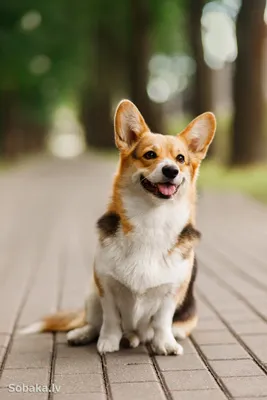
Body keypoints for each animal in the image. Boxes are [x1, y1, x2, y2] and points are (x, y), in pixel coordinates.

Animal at [22, 101, 217, 356]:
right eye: (150, 155)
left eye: (181, 158)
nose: (171, 170)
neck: (151, 220)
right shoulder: (106, 286)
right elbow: (111, 319)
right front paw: (108, 342)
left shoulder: (171, 292)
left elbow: (161, 321)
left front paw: (164, 344)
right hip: (91, 293)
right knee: (94, 321)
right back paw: (84, 334)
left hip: (184, 321)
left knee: (149, 332)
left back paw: (135, 338)